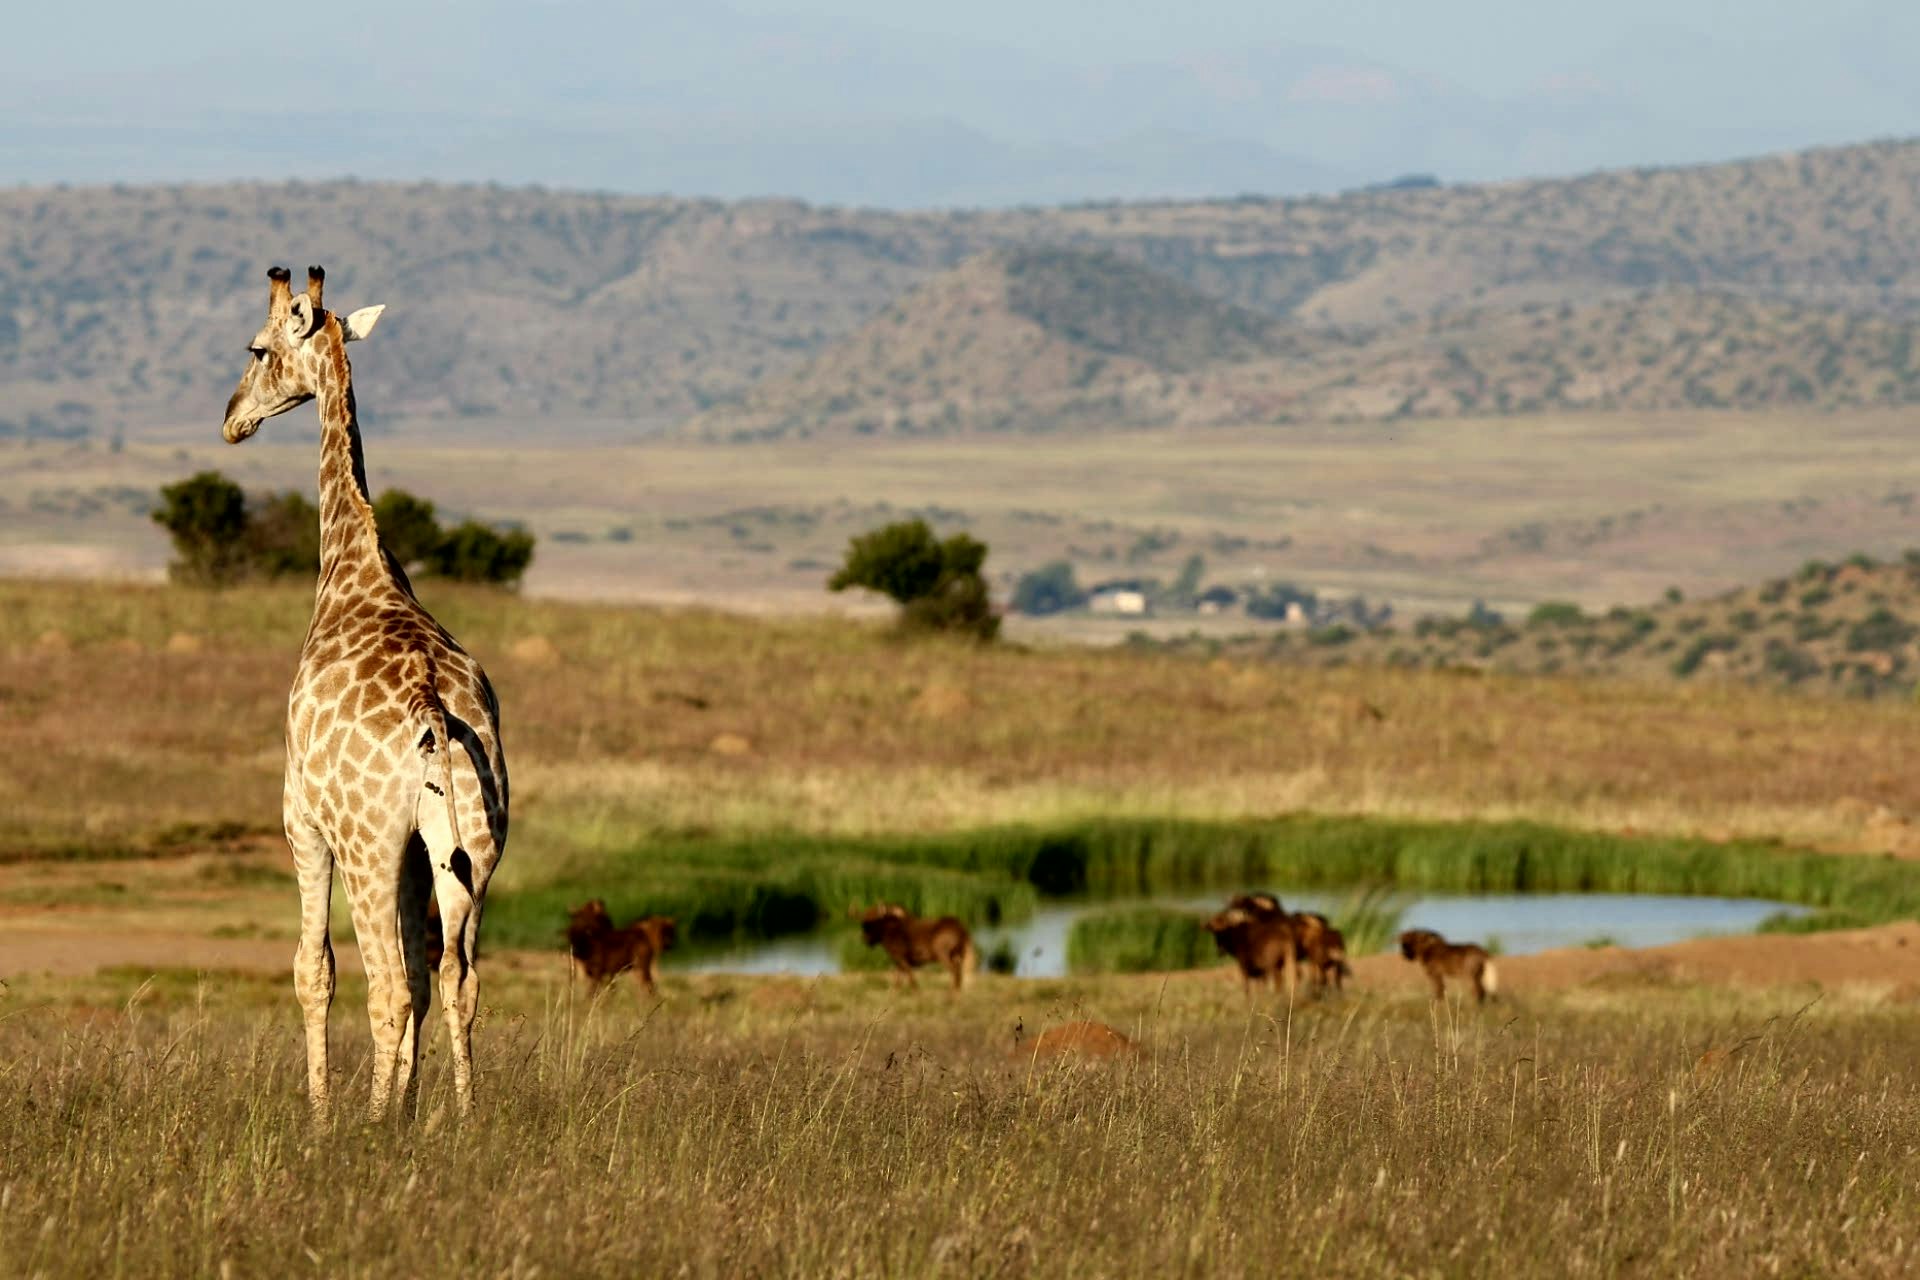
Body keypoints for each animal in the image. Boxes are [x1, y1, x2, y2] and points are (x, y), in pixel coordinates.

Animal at [221, 265, 509, 1123]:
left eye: (257, 348)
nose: (232, 420)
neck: (355, 569)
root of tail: (432, 711)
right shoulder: (422, 849)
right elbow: (425, 970)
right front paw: (412, 1106)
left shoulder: (301, 820)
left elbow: (313, 972)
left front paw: (322, 1116)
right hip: (473, 846)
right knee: (455, 978)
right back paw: (463, 1118)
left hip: (367, 846)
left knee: (388, 987)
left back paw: (369, 1124)